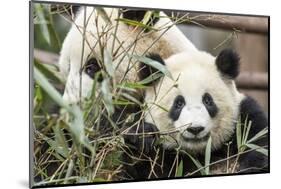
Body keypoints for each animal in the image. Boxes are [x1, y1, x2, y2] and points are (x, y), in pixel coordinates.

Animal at [122, 48, 266, 179]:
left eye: (208, 100)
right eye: (179, 103)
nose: (195, 129)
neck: (199, 152)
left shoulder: (244, 118)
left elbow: (258, 143)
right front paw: (141, 138)